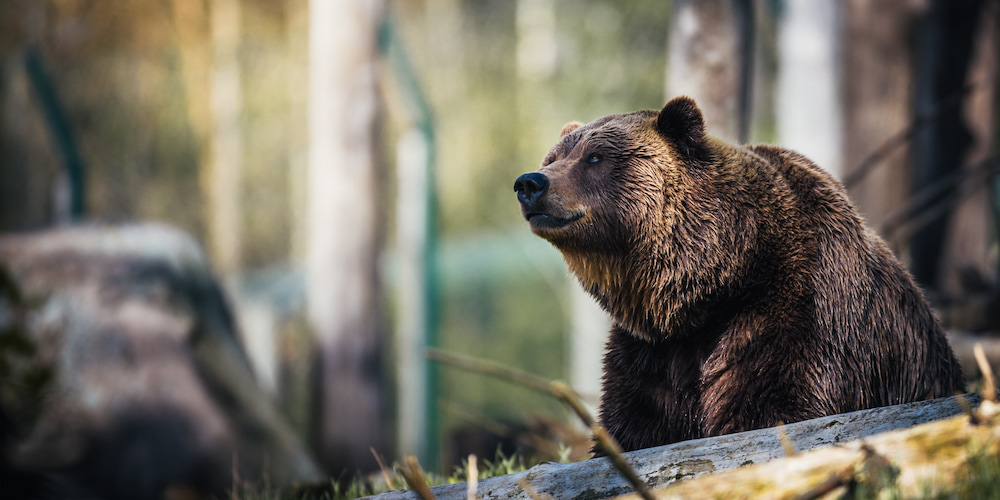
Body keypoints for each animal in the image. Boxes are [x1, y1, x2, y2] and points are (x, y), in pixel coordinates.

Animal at [512, 95, 964, 452]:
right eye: (553, 158)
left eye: (595, 157)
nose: (530, 183)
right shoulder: (652, 353)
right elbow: (635, 424)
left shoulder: (797, 312)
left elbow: (775, 407)